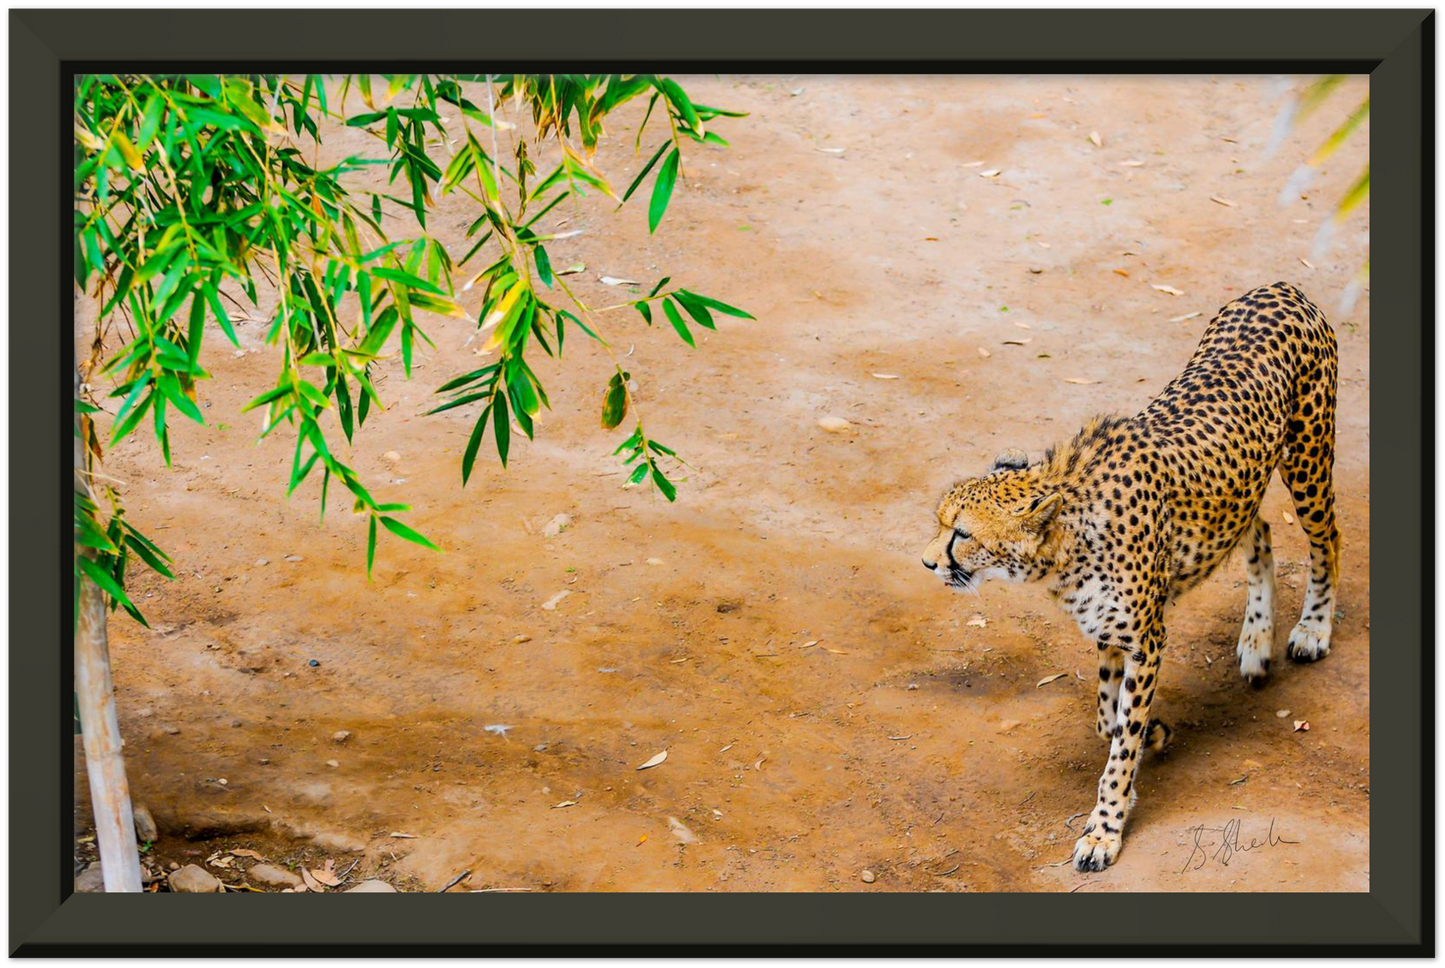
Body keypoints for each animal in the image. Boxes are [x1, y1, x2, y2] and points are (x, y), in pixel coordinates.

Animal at [924, 280, 1340, 872]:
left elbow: (1119, 745)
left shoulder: (1146, 638)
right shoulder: (1110, 630)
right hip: (1242, 492)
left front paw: (1104, 830)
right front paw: (1154, 733)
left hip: (1308, 459)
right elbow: (1108, 716)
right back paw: (1257, 640)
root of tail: (1279, 286)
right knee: (1257, 529)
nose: (928, 562)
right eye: (941, 524)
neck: (1066, 542)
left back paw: (1312, 630)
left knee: (1328, 540)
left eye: (961, 534)